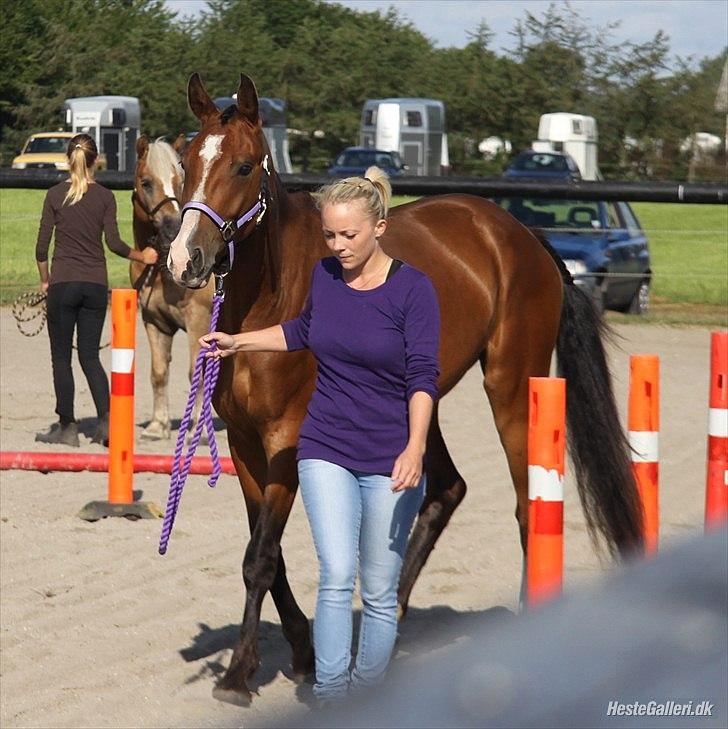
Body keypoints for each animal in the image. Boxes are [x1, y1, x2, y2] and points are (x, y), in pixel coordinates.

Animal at [132, 136, 215, 438]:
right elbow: (158, 372)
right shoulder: (155, 322)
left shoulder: (198, 321)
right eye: (146, 182)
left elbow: (196, 373)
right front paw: (158, 425)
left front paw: (198, 429)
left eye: (180, 181)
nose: (173, 227)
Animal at [166, 71, 644, 704]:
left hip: (513, 387)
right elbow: (269, 557)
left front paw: (239, 673)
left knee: (527, 508)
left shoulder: (287, 444)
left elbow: (261, 558)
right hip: (420, 406)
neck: (273, 296)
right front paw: (302, 652)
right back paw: (383, 630)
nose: (185, 258)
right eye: (189, 159)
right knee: (447, 490)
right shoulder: (245, 446)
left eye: (243, 166)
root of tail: (524, 237)